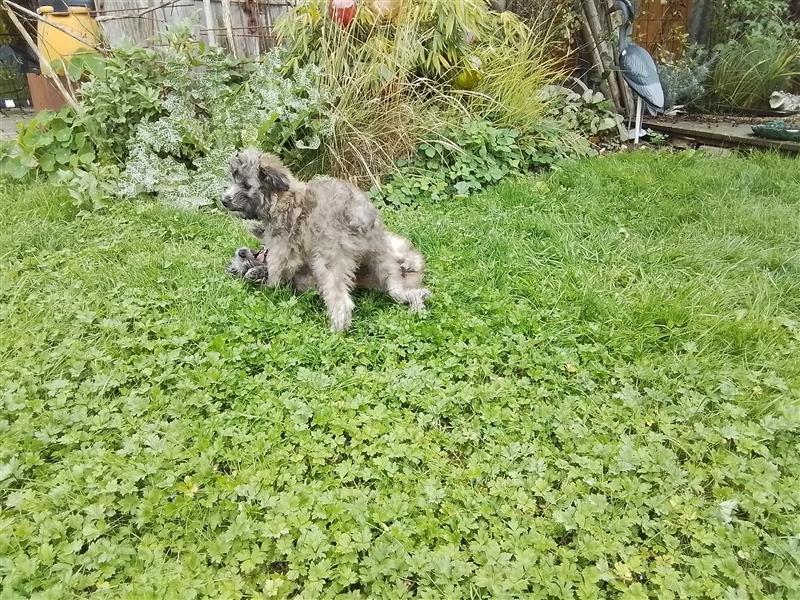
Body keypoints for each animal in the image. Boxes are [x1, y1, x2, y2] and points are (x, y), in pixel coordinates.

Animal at [219, 148, 432, 330]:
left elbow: (276, 273)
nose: (223, 200)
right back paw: (416, 300)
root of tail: (356, 217)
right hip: (382, 257)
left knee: (341, 301)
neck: (282, 198)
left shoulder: (283, 249)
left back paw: (337, 331)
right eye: (234, 178)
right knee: (399, 290)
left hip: (330, 261)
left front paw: (267, 286)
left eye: (246, 185)